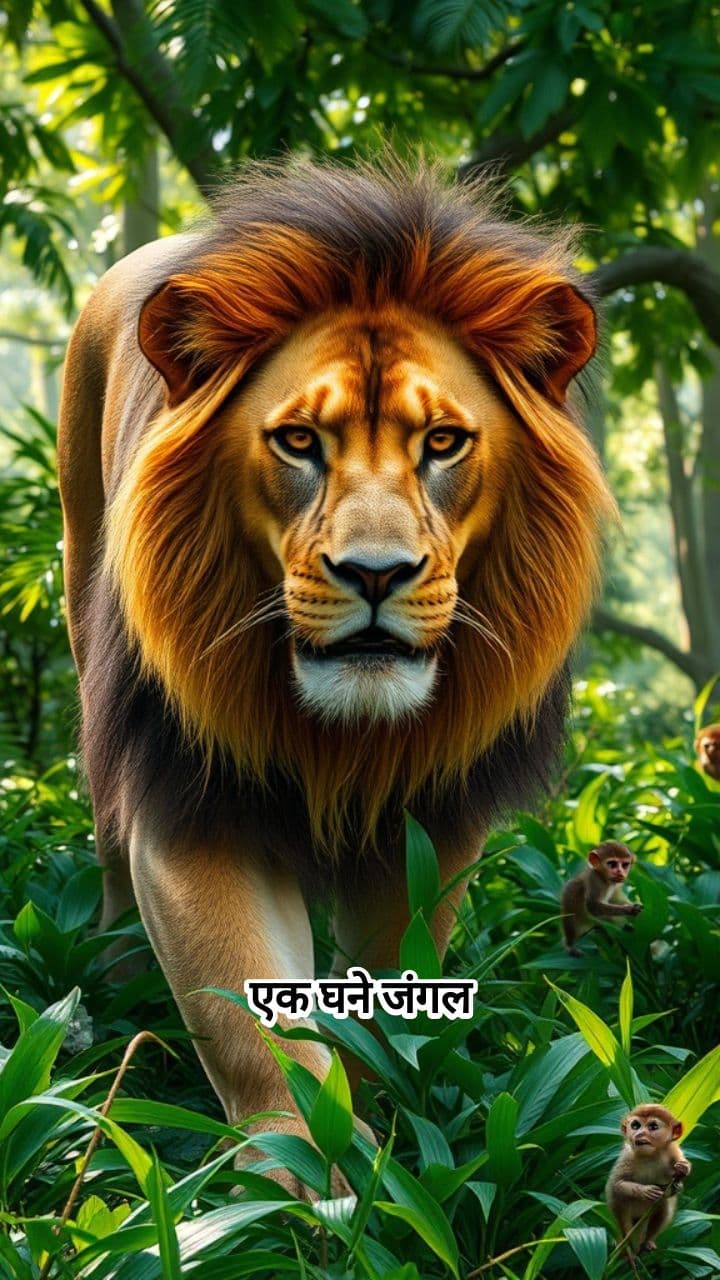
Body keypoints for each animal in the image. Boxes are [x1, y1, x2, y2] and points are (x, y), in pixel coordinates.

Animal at [58, 157, 613, 1191]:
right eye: (299, 442)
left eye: (442, 443)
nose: (376, 574)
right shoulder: (191, 808)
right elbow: (254, 1036)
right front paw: (300, 1191)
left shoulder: (432, 824)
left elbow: (385, 1006)